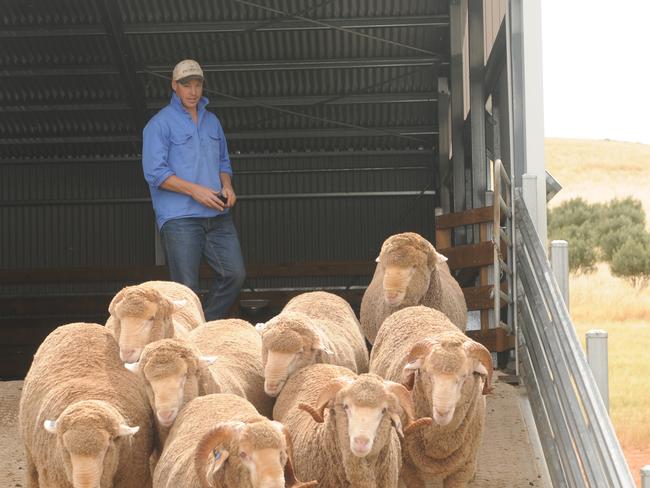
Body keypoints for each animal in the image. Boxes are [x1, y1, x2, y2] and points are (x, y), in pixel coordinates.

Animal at [368, 306, 488, 486]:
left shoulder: (462, 471)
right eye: (428, 374)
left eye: (464, 376)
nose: (442, 412)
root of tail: (416, 307)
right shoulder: (409, 470)